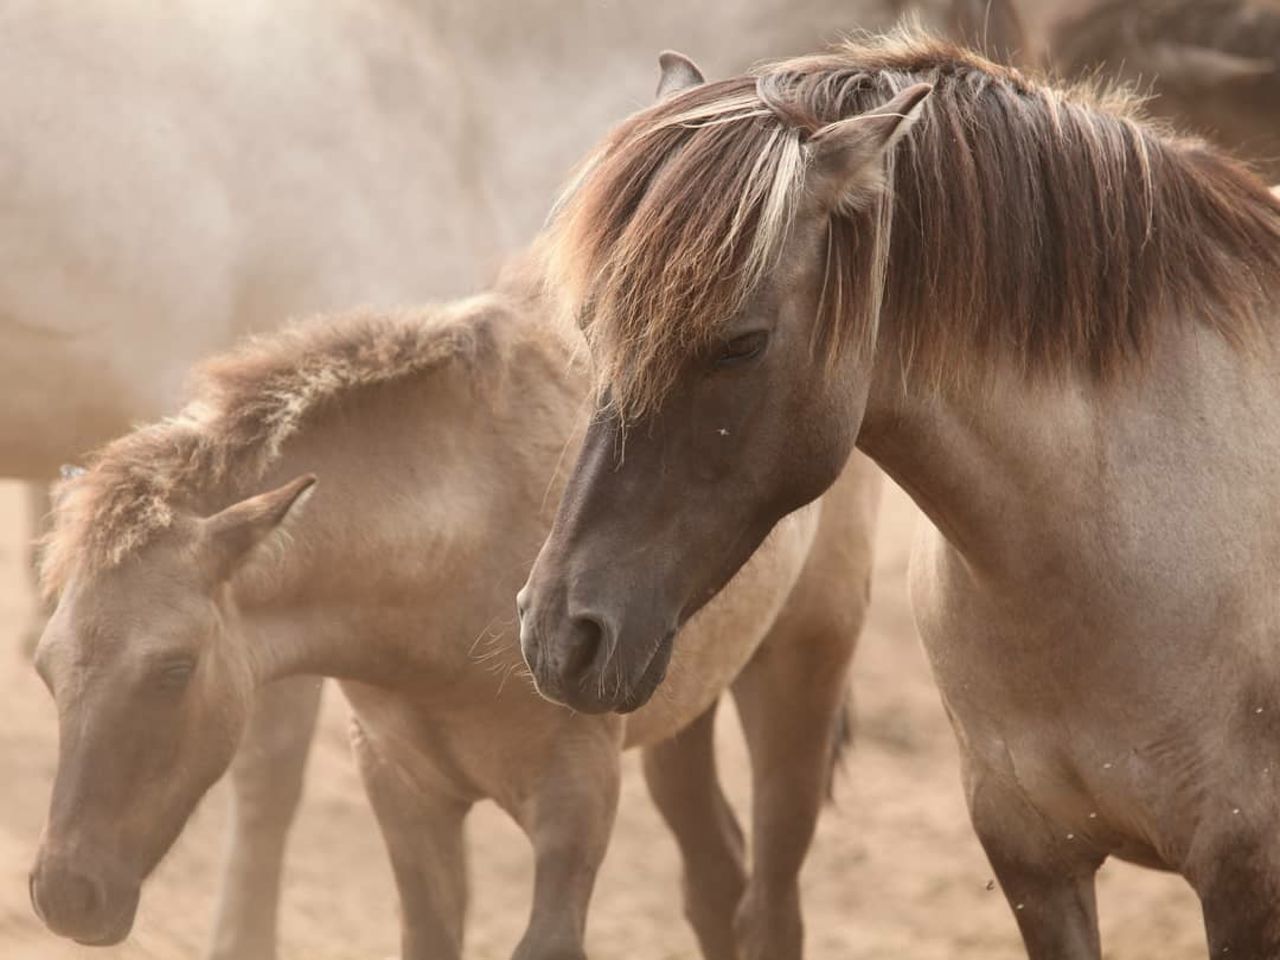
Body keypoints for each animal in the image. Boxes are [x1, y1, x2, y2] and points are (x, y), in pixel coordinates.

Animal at [27, 256, 880, 960]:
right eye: (43, 669)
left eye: (174, 669)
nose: (64, 894)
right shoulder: (405, 789)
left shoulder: (576, 800)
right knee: (714, 880)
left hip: (801, 670)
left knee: (770, 906)